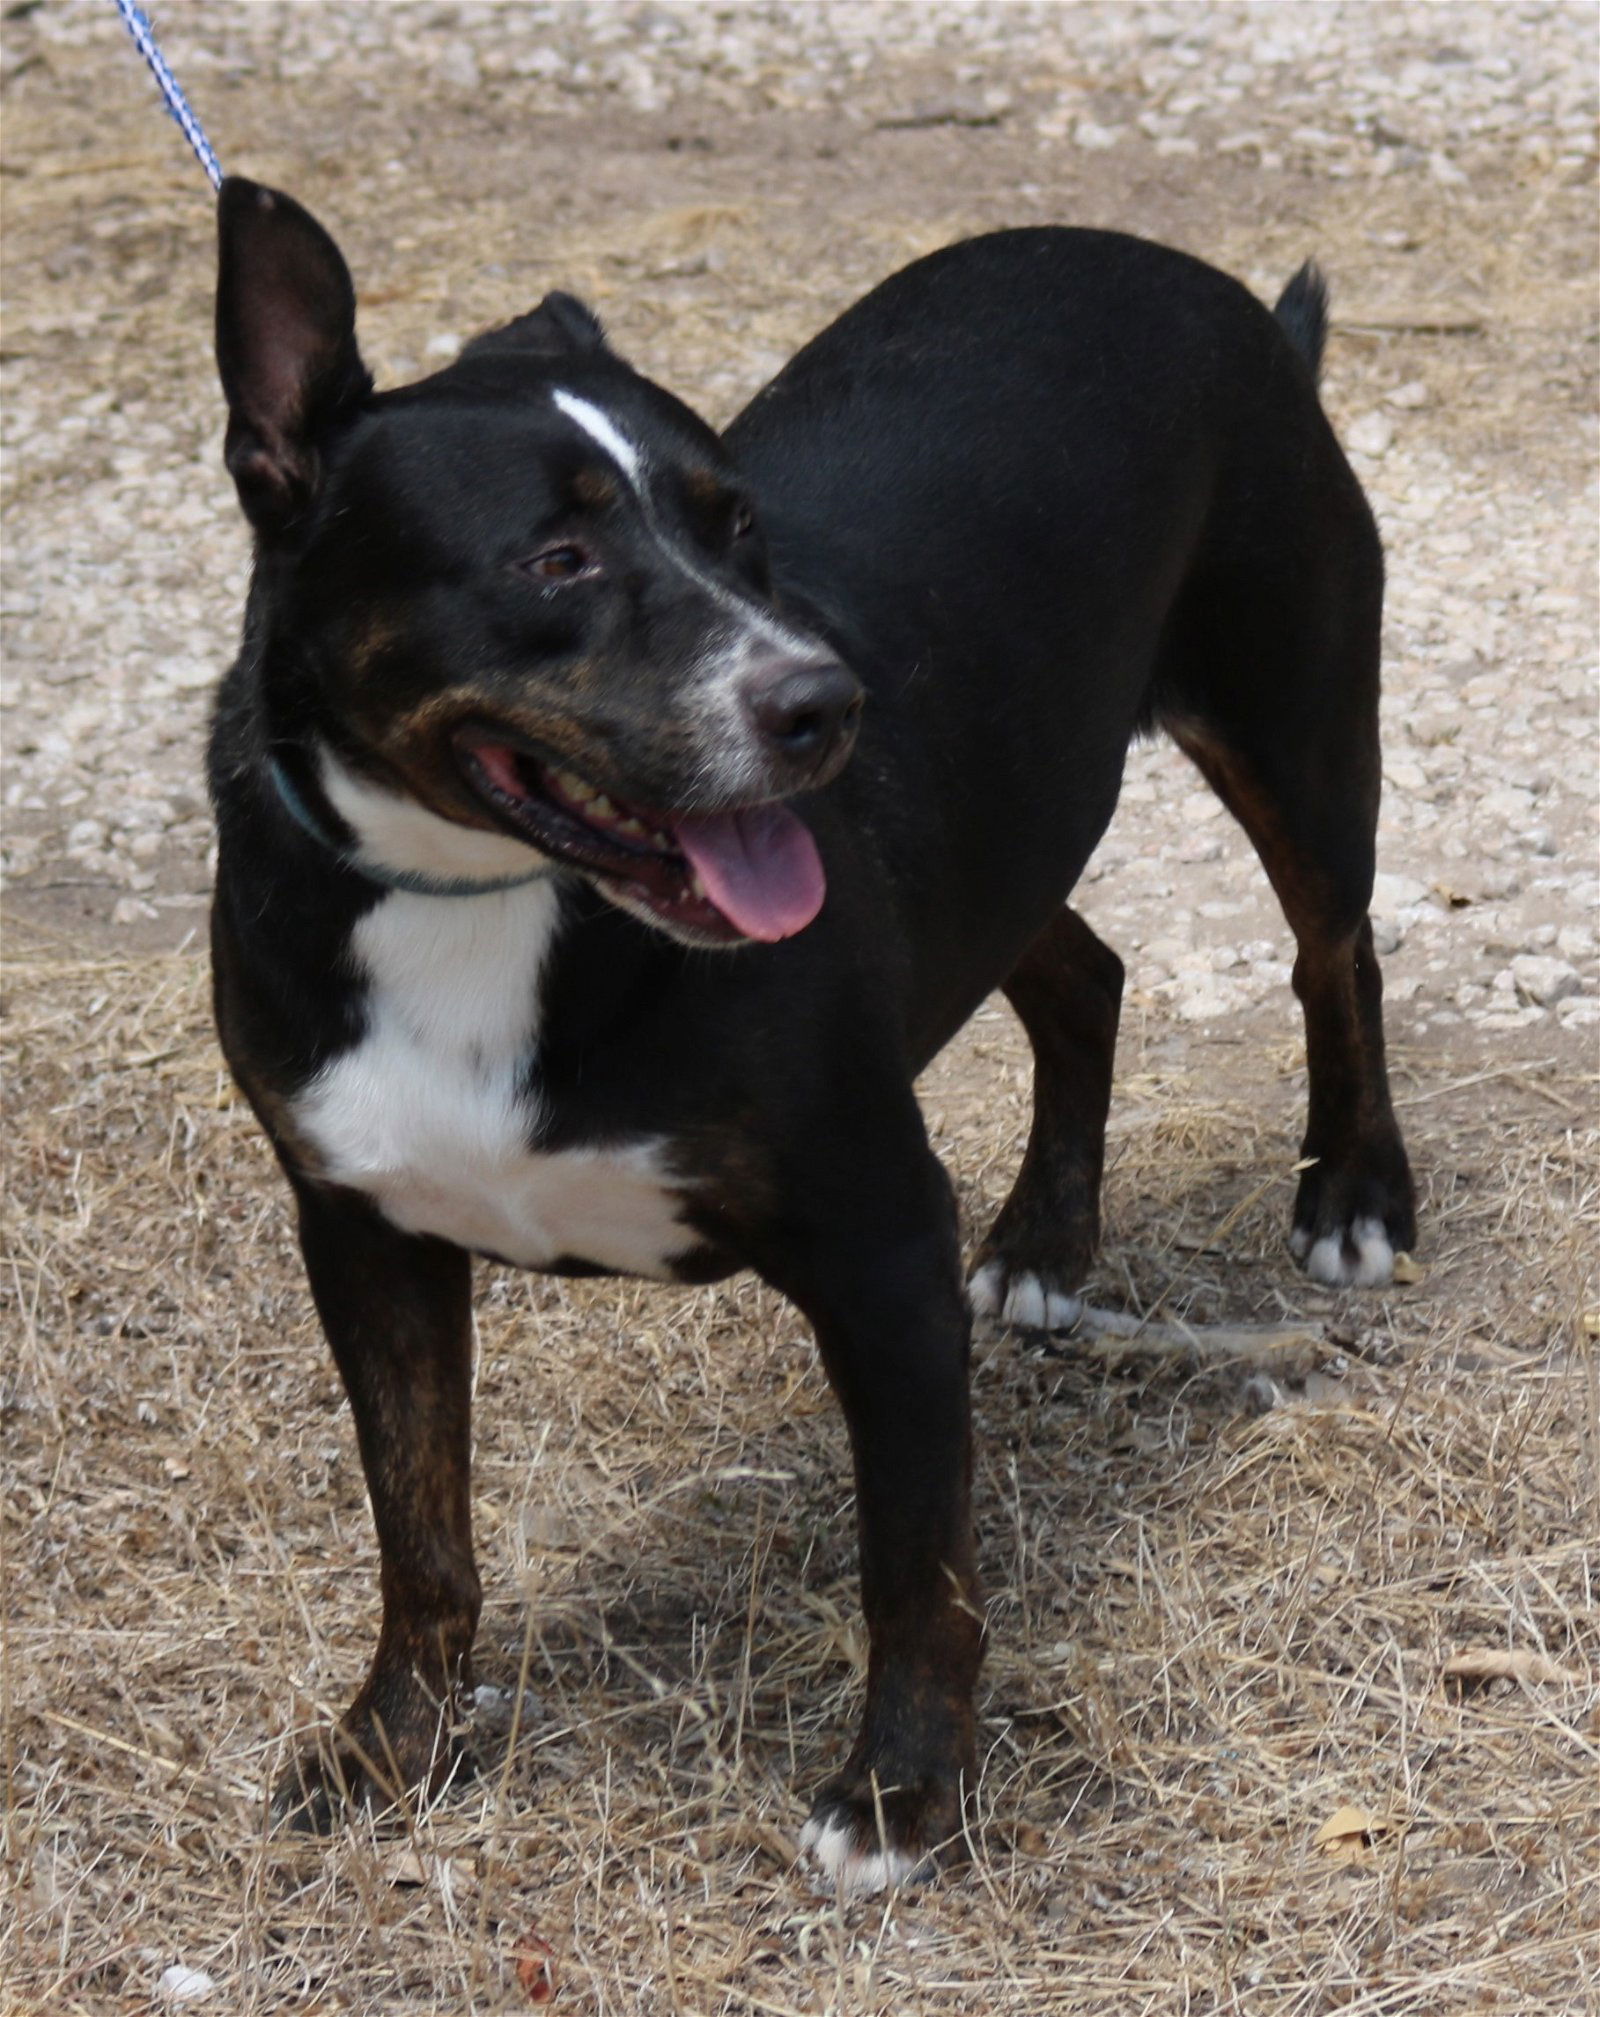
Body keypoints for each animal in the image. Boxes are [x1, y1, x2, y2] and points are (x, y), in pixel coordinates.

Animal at [208, 181, 1412, 1895]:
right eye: (557, 557)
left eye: (741, 527)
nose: (824, 702)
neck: (484, 898)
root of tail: (1221, 293)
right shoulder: (362, 1234)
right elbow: (418, 1525)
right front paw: (393, 1747)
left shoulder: (876, 1243)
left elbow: (914, 1558)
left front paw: (901, 1793)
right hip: (1004, 825)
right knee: (1086, 972)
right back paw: (1046, 1239)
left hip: (1291, 725)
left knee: (1335, 955)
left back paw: (1356, 1194)